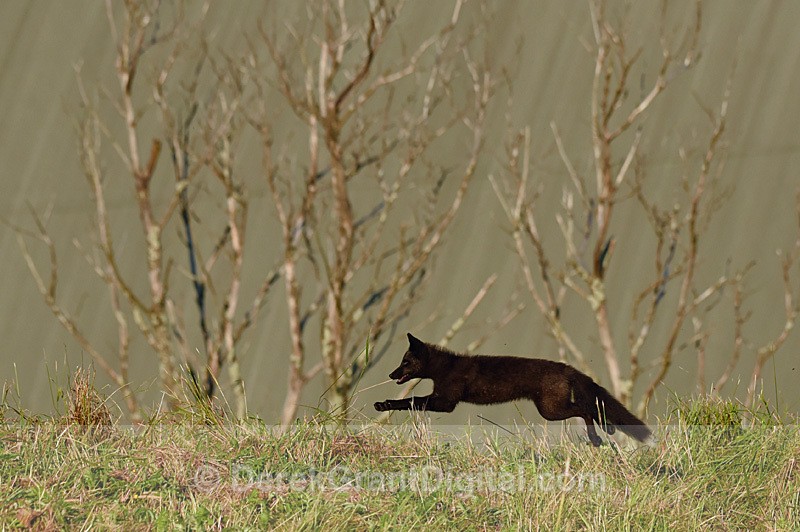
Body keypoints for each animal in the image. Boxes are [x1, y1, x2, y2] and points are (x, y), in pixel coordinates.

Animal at [374, 333, 652, 446]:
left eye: (406, 362)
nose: (391, 375)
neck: (447, 368)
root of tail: (566, 367)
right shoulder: (441, 400)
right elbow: (411, 401)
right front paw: (382, 404)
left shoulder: (445, 402)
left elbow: (410, 401)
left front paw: (383, 404)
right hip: (552, 408)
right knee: (590, 408)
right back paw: (608, 429)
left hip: (550, 410)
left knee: (585, 409)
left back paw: (597, 438)